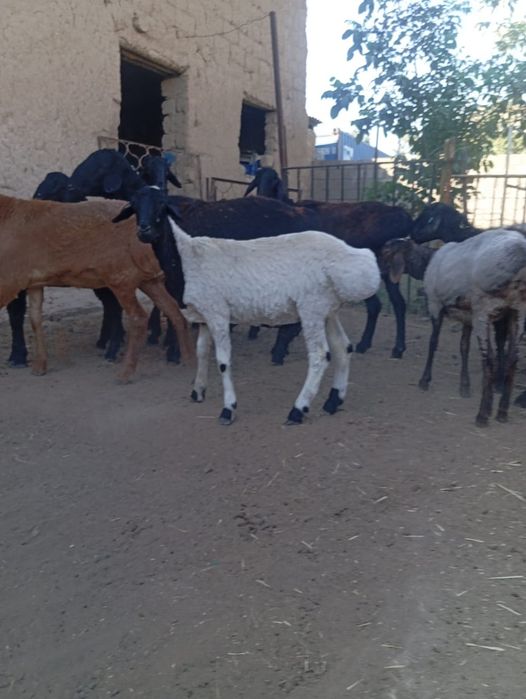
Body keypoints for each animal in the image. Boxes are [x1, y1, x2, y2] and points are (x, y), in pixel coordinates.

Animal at [0, 194, 193, 380]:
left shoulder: (10, 280)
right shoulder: (34, 281)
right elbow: (35, 319)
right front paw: (40, 366)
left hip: (121, 277)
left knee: (139, 318)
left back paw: (125, 373)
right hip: (149, 280)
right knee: (174, 311)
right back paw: (186, 360)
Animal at [165, 217, 381, 424]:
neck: (188, 256)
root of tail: (352, 257)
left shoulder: (217, 313)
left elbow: (223, 361)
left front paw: (228, 409)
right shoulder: (204, 316)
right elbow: (201, 351)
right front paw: (198, 391)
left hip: (311, 307)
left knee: (320, 355)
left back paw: (298, 410)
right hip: (327, 310)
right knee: (343, 347)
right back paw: (333, 402)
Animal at [244, 166, 414, 359]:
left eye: (274, 180)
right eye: (257, 180)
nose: (262, 199)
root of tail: (402, 215)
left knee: (380, 305)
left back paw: (375, 345)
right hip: (387, 272)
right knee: (395, 304)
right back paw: (389, 347)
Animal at [417, 228, 526, 425]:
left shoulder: (435, 304)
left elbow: (433, 342)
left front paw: (425, 380)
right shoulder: (468, 316)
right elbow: (464, 347)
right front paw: (464, 386)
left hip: (484, 309)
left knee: (489, 359)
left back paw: (483, 414)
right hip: (517, 312)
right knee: (512, 357)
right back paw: (501, 412)